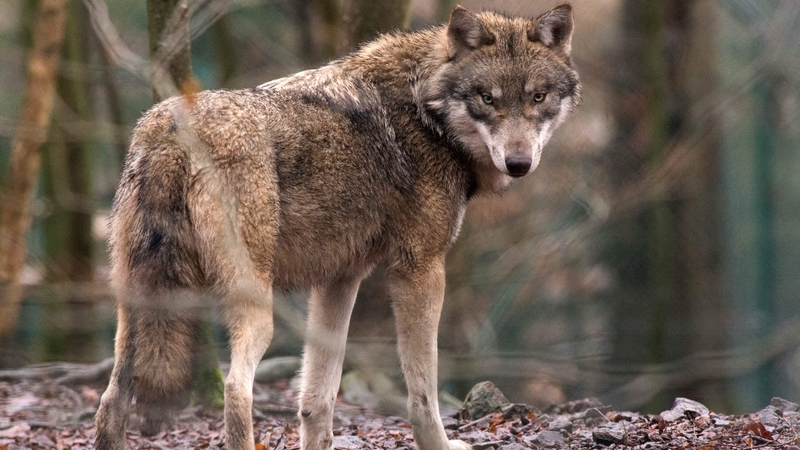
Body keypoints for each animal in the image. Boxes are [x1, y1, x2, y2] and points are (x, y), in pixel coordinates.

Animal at [94, 4, 580, 450]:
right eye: (488, 98)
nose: (519, 163)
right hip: (256, 306)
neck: (427, 112)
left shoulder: (340, 278)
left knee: (111, 400)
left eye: (538, 98)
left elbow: (318, 397)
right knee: (235, 388)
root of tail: (169, 130)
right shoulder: (420, 269)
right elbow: (422, 393)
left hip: (135, 307)